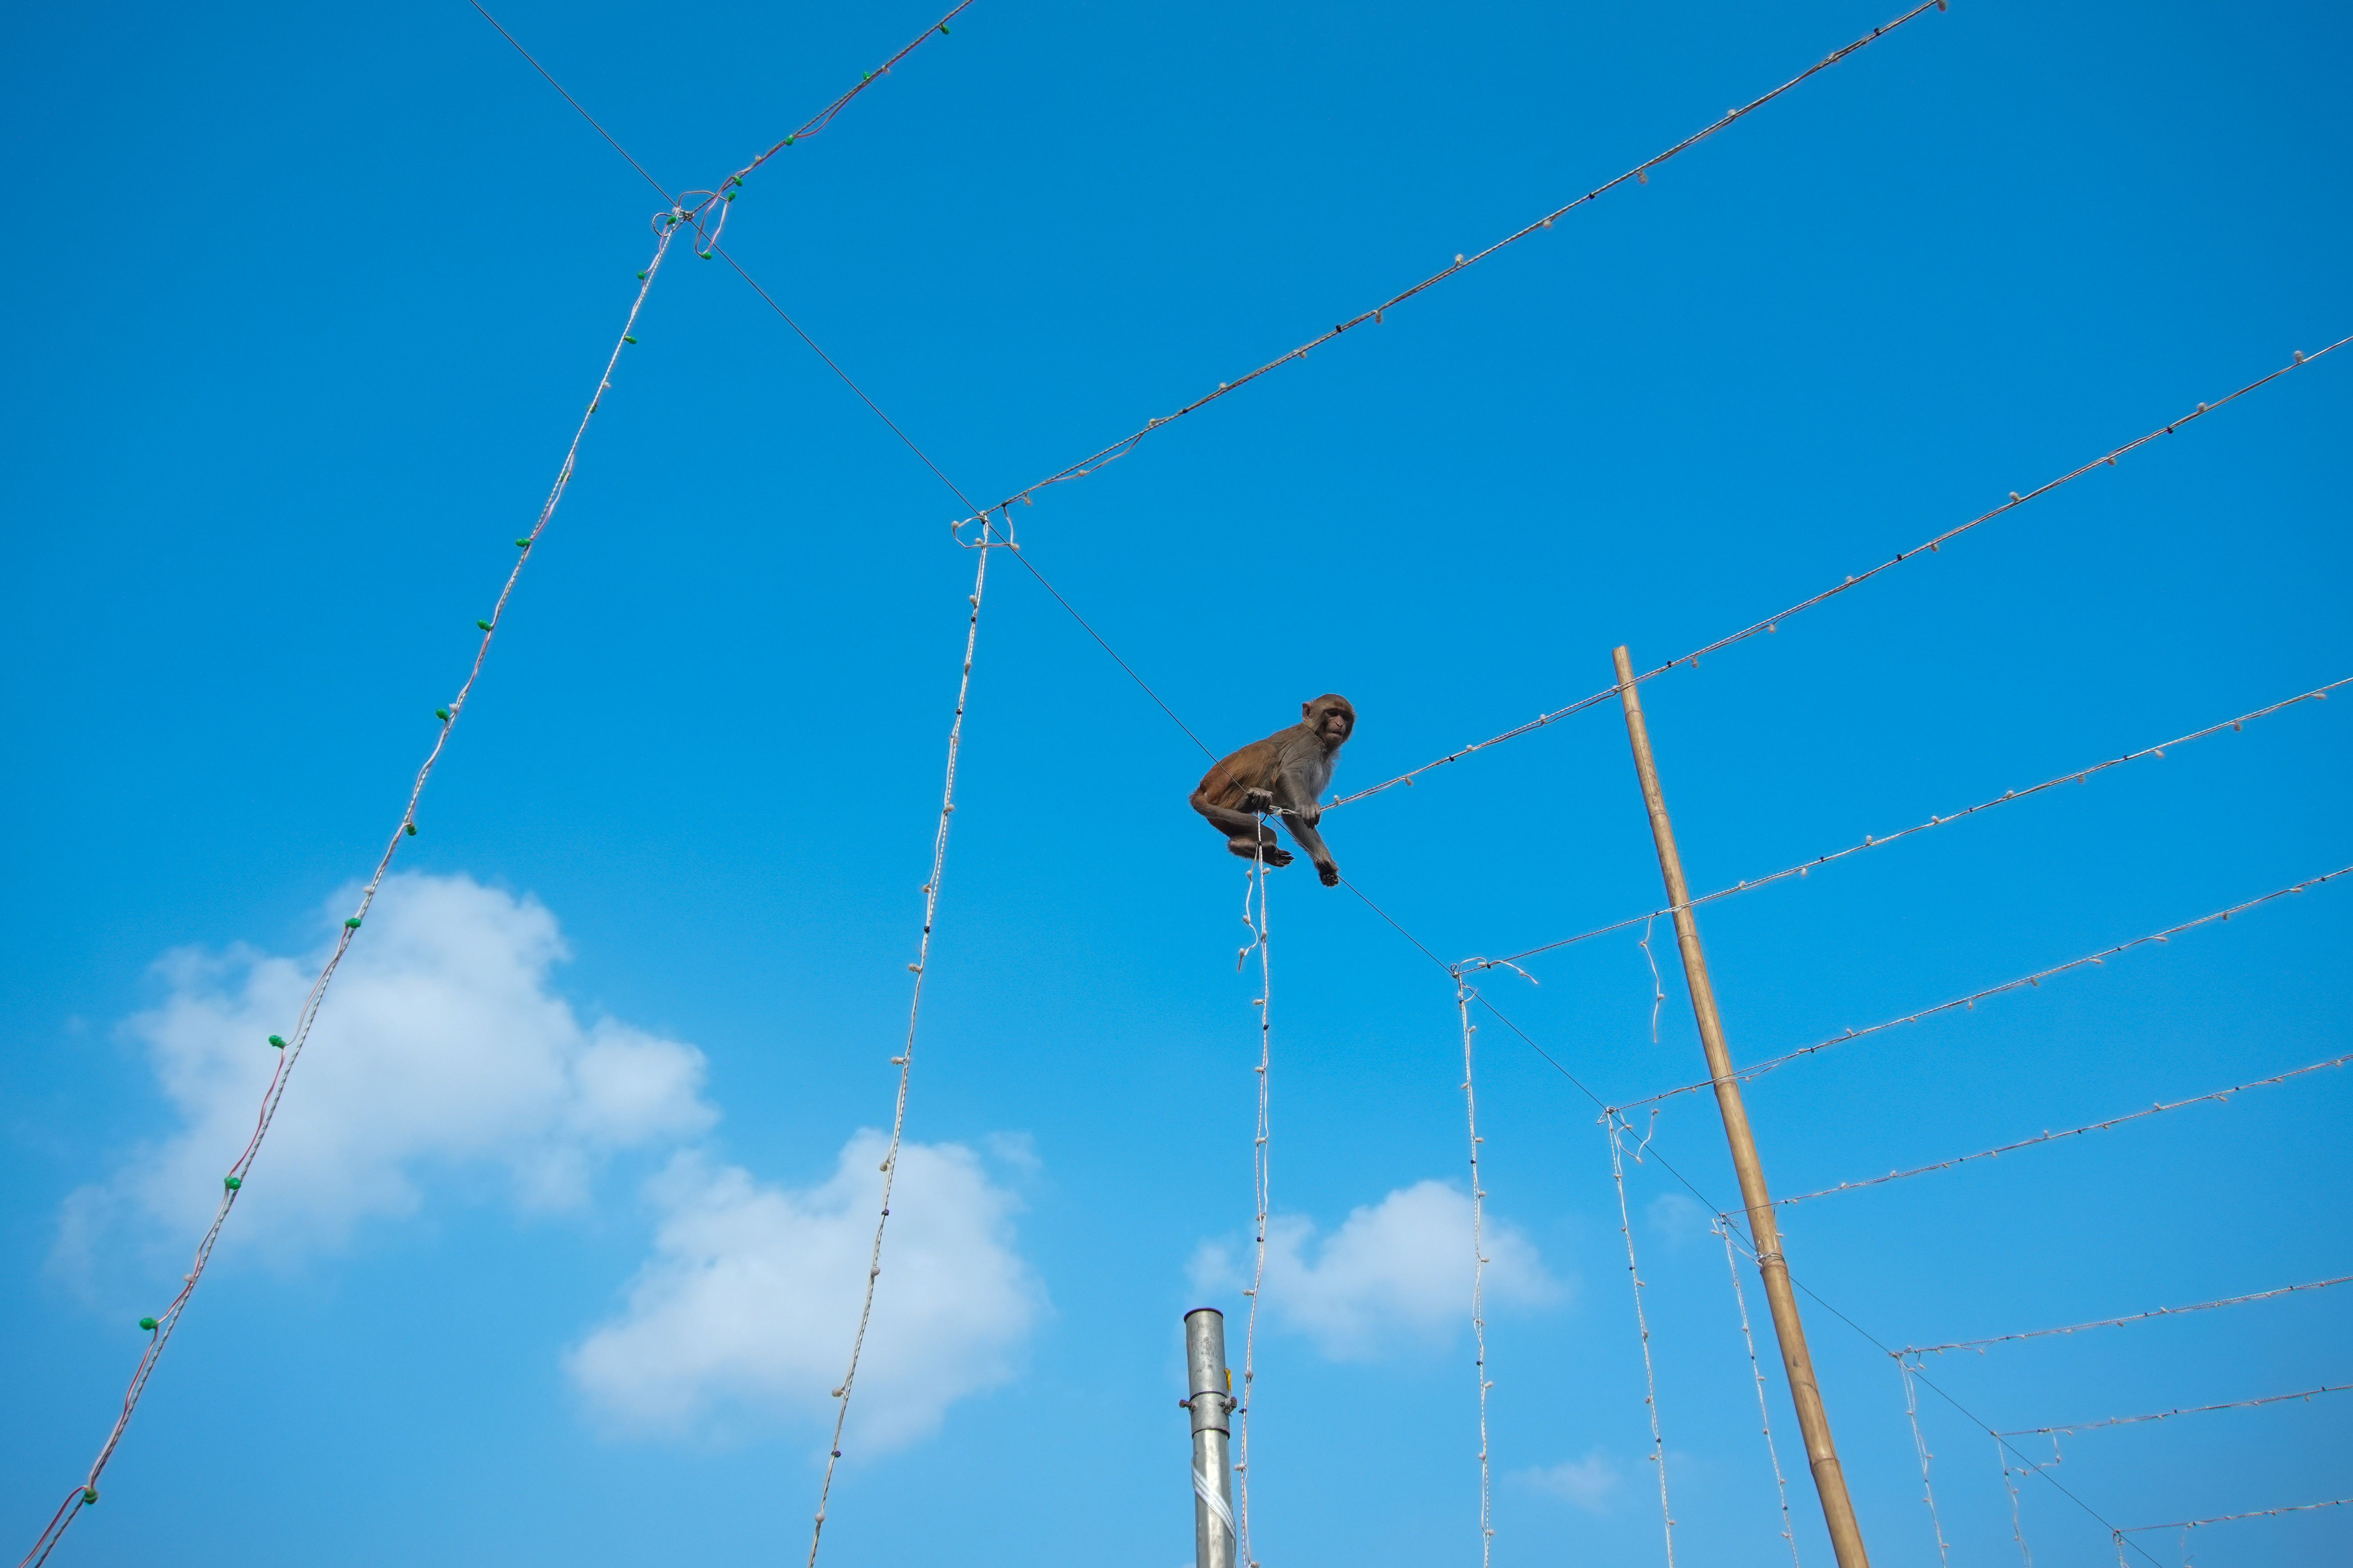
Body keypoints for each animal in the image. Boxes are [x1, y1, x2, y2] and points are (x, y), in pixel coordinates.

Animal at [1189, 695, 1356, 887]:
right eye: (1333, 713)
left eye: (1345, 717)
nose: (1340, 724)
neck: (1319, 739)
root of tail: (1202, 787)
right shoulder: (1309, 744)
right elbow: (1289, 773)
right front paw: (1308, 807)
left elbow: (1293, 814)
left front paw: (1325, 864)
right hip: (1220, 785)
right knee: (1267, 750)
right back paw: (1243, 805)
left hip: (1220, 817)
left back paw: (1241, 845)